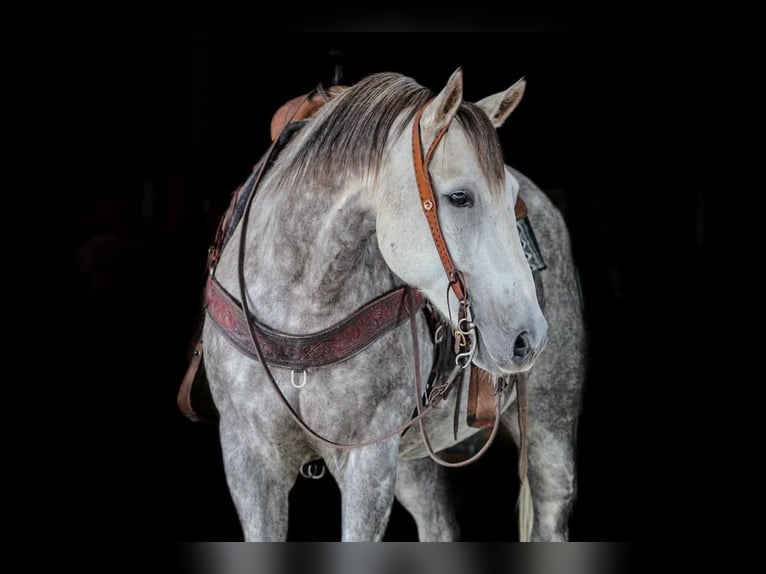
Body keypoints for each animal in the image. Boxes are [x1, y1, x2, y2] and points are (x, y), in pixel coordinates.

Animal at [198, 68, 585, 541]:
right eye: (460, 197)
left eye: (511, 199)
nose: (529, 337)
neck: (300, 312)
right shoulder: (248, 459)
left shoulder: (368, 461)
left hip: (551, 426)